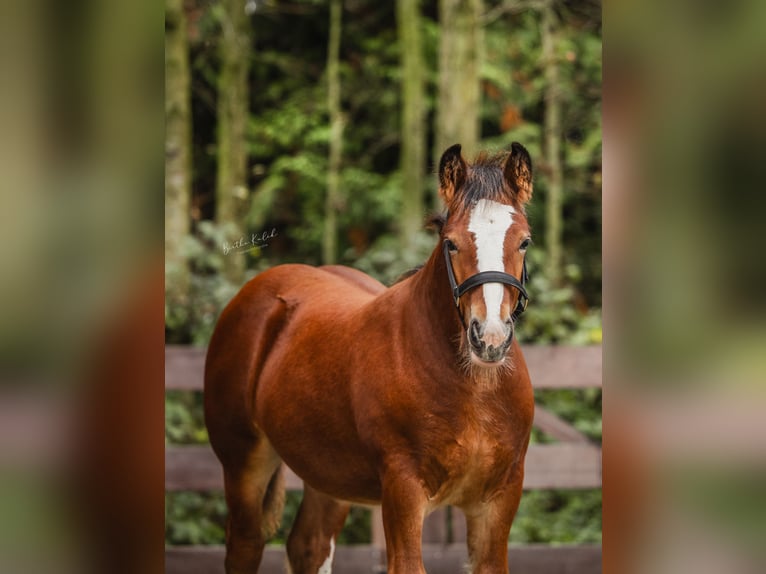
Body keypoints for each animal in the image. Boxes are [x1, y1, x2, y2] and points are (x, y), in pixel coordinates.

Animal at [207, 142, 536, 572]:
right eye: (451, 243)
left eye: (524, 241)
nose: (490, 338)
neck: (473, 390)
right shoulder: (403, 490)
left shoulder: (499, 498)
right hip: (243, 463)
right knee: (245, 545)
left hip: (327, 475)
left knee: (308, 545)